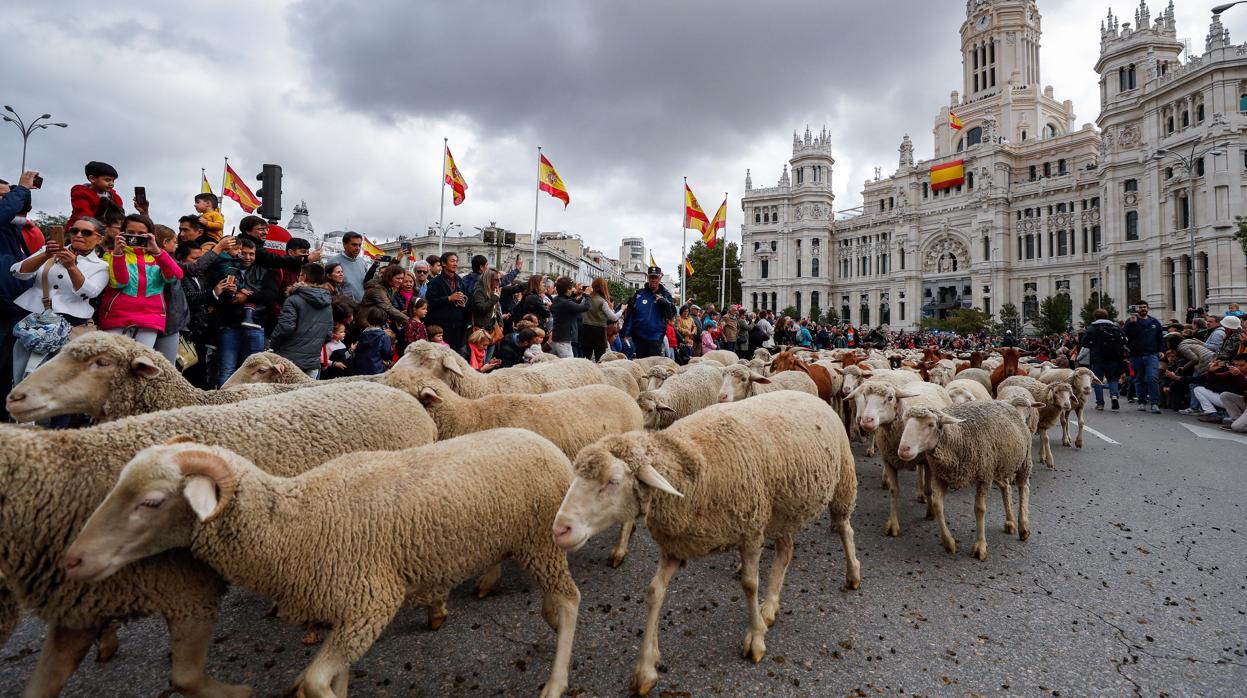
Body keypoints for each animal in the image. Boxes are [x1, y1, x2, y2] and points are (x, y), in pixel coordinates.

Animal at [0, 381, 438, 698]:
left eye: (151, 502)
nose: (74, 560)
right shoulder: (82, 606)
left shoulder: (188, 592)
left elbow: (186, 678)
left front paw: (238, 692)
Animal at [63, 431, 578, 698]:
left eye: (151, 502)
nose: (74, 559)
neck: (296, 523)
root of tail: (545, 443)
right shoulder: (345, 609)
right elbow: (334, 676)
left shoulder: (371, 602)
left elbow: (314, 681)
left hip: (541, 542)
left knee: (571, 602)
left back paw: (555, 682)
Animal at [551, 388, 862, 693]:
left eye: (613, 481)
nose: (559, 529)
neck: (691, 468)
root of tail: (810, 394)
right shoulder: (676, 545)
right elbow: (654, 592)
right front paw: (645, 669)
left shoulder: (750, 529)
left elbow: (749, 585)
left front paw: (755, 640)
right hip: (781, 509)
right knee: (785, 551)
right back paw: (769, 607)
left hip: (841, 481)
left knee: (845, 529)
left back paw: (853, 575)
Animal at [897, 401, 1032, 558]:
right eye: (905, 422)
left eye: (931, 424)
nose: (903, 449)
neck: (957, 438)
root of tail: (1007, 404)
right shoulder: (941, 476)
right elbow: (937, 505)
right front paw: (948, 543)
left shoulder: (984, 477)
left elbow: (979, 509)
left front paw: (980, 546)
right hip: (997, 466)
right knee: (1006, 486)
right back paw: (1010, 522)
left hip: (1023, 460)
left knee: (1024, 488)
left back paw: (1023, 527)